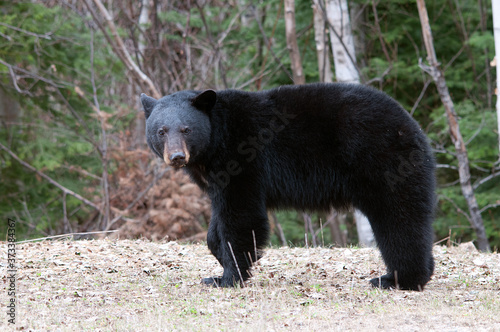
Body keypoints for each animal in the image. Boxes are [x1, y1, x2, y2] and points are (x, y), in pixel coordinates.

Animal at [140, 82, 434, 290]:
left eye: (186, 129)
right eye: (161, 131)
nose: (177, 157)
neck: (214, 143)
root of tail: (412, 125)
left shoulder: (243, 159)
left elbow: (241, 215)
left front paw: (230, 277)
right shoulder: (215, 176)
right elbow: (218, 224)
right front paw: (221, 263)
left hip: (381, 160)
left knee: (398, 218)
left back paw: (397, 279)